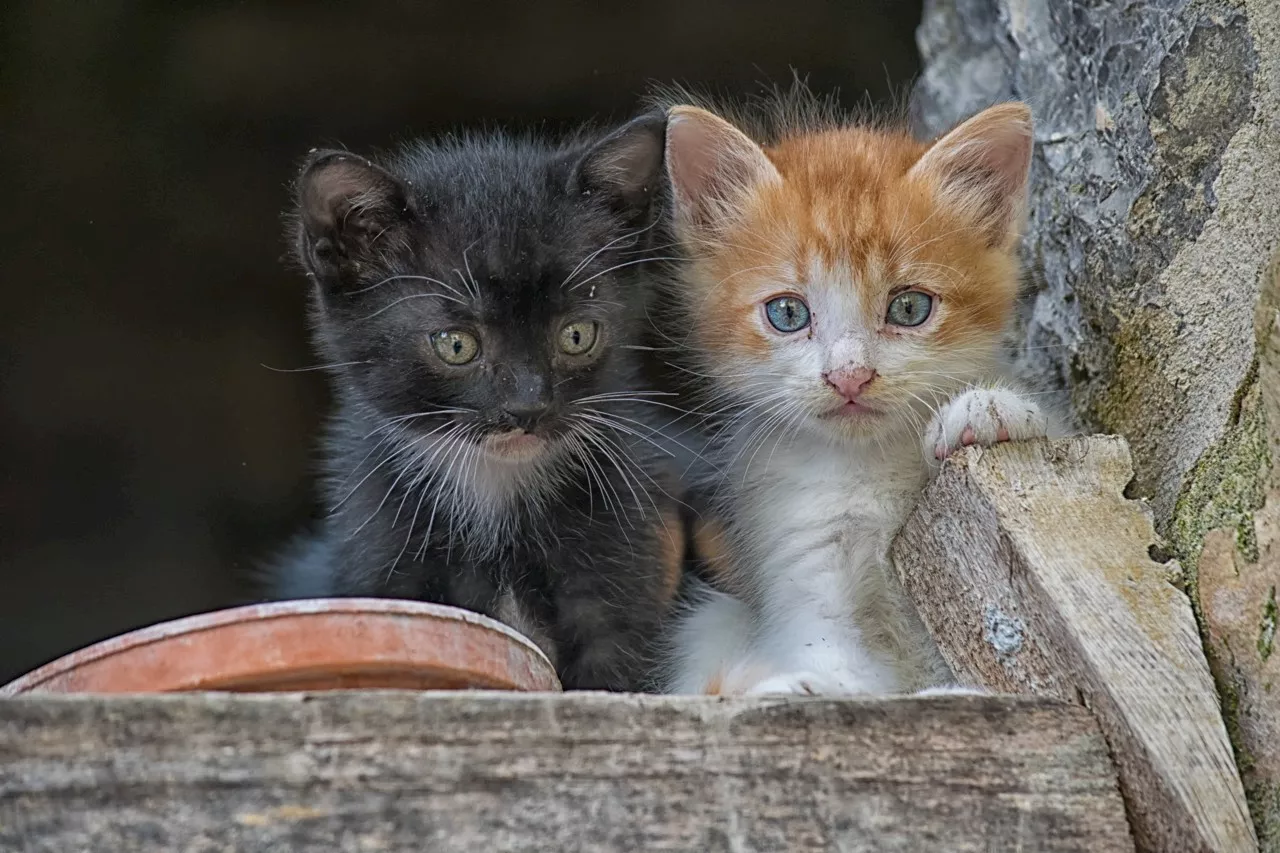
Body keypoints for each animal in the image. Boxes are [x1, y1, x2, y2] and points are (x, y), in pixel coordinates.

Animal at [267, 112, 691, 686]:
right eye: (457, 345)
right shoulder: (384, 567)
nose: (528, 408)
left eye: (577, 335)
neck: (494, 488)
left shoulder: (620, 566)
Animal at [660, 103, 1059, 696]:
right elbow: (849, 669)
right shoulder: (804, 566)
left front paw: (989, 409)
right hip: (710, 620)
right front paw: (803, 689)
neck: (866, 466)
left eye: (910, 307)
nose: (850, 376)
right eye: (787, 313)